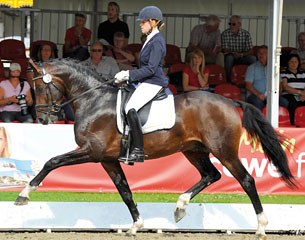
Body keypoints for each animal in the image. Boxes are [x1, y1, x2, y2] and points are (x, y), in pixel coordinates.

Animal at [14, 59, 294, 238]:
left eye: (40, 86)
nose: (42, 119)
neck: (93, 100)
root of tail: (229, 100)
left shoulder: (91, 151)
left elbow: (52, 161)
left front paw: (24, 195)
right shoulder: (107, 159)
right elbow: (125, 191)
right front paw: (136, 225)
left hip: (223, 150)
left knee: (246, 180)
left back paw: (261, 227)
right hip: (194, 150)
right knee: (210, 175)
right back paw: (180, 206)